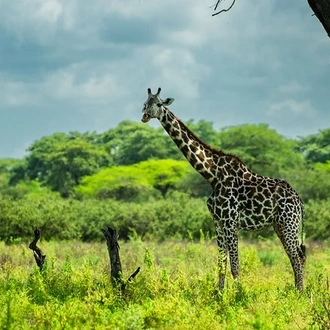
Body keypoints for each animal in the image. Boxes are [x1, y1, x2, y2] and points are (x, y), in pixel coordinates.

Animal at [141, 87, 306, 292]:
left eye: (158, 104)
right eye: (144, 103)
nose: (145, 116)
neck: (212, 175)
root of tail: (299, 199)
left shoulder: (230, 222)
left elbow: (235, 266)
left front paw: (239, 295)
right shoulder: (218, 222)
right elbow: (221, 263)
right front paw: (219, 295)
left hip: (289, 223)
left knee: (297, 258)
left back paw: (301, 295)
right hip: (279, 225)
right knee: (296, 257)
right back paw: (298, 292)